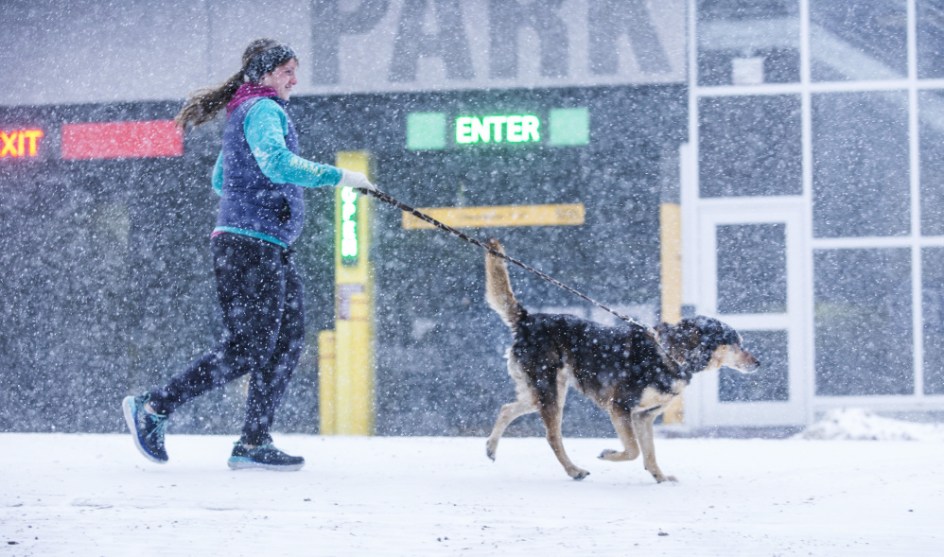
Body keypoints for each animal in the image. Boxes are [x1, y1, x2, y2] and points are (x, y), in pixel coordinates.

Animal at [486, 240, 760, 482]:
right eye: (735, 343)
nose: (758, 363)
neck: (669, 354)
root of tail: (528, 320)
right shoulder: (619, 407)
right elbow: (633, 450)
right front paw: (608, 454)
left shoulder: (644, 417)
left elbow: (649, 453)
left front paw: (660, 478)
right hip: (549, 391)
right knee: (552, 437)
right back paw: (574, 470)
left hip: (546, 392)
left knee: (507, 409)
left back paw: (491, 447)